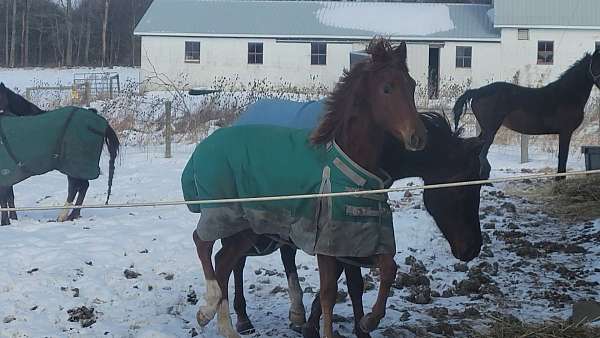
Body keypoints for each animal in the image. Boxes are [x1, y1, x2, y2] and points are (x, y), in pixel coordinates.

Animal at [0, 82, 119, 224]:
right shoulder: (8, 173)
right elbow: (9, 196)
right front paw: (12, 218)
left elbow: (4, 197)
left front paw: (6, 221)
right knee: (82, 186)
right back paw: (71, 215)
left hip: (73, 166)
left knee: (77, 187)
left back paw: (65, 216)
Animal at [188, 38, 426, 338]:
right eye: (386, 88)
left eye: (412, 85)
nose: (418, 137)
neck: (348, 168)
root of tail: (204, 147)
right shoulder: (326, 243)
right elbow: (328, 293)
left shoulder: (361, 240)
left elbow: (388, 269)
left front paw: (368, 321)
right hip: (225, 213)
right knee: (203, 244)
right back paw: (209, 309)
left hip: (247, 227)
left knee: (223, 262)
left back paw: (223, 325)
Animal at [232, 111, 486, 338]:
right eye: (462, 189)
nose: (472, 248)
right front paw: (323, 327)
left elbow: (352, 283)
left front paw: (342, 326)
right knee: (237, 262)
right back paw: (244, 320)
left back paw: (295, 315)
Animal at [452, 49, 600, 180]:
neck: (567, 94)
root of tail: (478, 91)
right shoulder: (565, 132)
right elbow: (563, 157)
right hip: (490, 131)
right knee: (482, 155)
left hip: (486, 130)